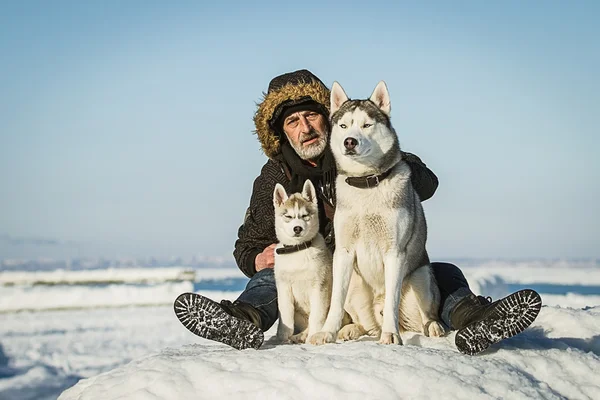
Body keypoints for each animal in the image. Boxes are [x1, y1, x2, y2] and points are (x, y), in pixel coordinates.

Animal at [274, 180, 332, 342]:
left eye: (305, 215)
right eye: (288, 216)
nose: (297, 228)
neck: (297, 250)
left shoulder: (320, 285)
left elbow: (317, 315)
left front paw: (313, 336)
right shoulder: (284, 286)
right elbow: (285, 313)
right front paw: (283, 338)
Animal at [312, 80, 448, 344]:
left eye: (367, 125)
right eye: (343, 126)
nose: (350, 141)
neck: (366, 183)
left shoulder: (395, 252)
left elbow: (392, 301)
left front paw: (391, 335)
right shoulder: (343, 252)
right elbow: (335, 301)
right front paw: (327, 332)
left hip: (421, 277)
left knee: (425, 315)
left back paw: (433, 327)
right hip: (356, 286)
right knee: (366, 324)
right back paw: (350, 330)